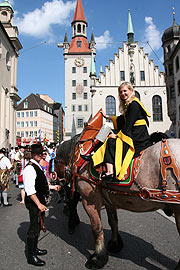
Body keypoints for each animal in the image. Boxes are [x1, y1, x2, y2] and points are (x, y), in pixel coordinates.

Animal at [55, 132, 180, 268]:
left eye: (54, 163)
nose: (59, 181)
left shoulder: (90, 201)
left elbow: (97, 228)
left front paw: (98, 257)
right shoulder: (109, 201)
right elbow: (113, 221)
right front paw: (115, 244)